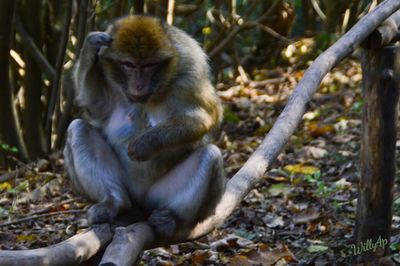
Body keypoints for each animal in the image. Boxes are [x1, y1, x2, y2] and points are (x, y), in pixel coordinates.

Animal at [63, 15, 223, 238]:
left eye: (149, 65)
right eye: (129, 65)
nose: (138, 86)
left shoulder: (191, 74)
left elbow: (206, 117)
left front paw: (146, 143)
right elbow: (95, 107)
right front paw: (90, 47)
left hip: (157, 196)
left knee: (210, 155)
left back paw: (172, 220)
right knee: (78, 128)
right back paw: (114, 202)